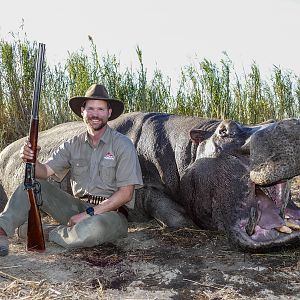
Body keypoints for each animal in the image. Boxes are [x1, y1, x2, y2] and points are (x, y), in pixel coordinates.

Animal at [0, 112, 298, 251]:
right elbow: (176, 216)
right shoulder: (144, 191)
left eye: (272, 119)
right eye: (224, 130)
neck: (189, 149)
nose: (290, 122)